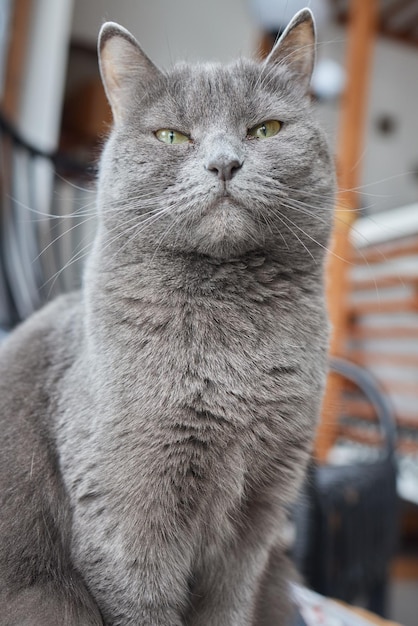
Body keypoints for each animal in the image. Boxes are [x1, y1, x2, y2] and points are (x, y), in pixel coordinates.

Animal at [0, 7, 334, 620]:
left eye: (265, 130)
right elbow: (142, 603)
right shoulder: (124, 514)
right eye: (172, 136)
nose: (224, 163)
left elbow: (230, 606)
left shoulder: (260, 516)